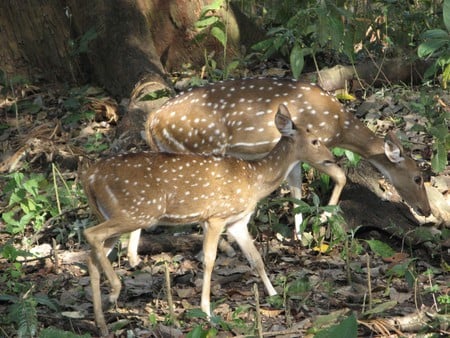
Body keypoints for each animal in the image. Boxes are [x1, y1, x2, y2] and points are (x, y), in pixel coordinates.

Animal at [81, 103, 334, 336]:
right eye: (315, 141)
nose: (331, 159)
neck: (255, 180)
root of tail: (89, 178)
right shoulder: (215, 216)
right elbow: (210, 260)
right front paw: (207, 311)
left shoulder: (237, 222)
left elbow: (255, 259)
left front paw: (274, 296)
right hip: (138, 212)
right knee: (90, 234)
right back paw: (114, 292)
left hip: (116, 213)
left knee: (92, 256)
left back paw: (101, 321)